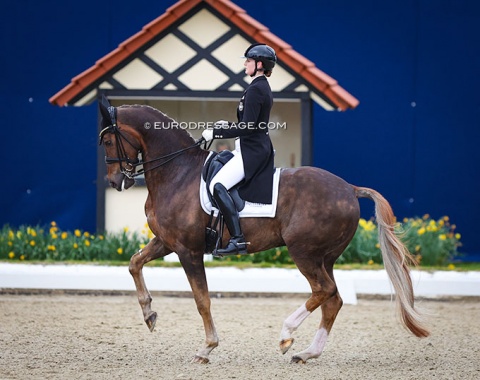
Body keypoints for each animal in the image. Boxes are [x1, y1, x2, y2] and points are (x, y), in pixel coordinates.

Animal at [99, 99, 430, 364]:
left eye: (107, 142)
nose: (116, 181)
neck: (177, 172)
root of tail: (349, 188)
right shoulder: (167, 242)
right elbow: (134, 263)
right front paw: (149, 315)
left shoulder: (188, 250)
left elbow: (202, 299)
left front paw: (207, 348)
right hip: (325, 257)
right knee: (333, 299)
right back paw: (308, 352)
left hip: (303, 252)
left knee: (323, 291)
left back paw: (286, 335)